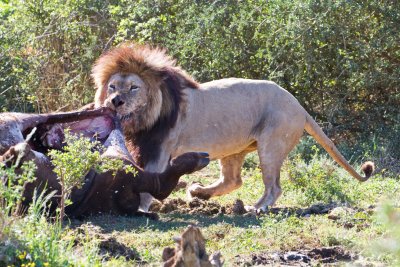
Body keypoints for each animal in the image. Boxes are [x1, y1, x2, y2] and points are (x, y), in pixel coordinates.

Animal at [92, 43, 374, 213]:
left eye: (133, 87)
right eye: (113, 86)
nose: (115, 101)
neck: (144, 118)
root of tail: (300, 107)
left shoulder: (160, 150)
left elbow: (149, 180)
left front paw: (141, 208)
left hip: (271, 145)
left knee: (273, 186)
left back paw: (256, 208)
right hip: (233, 149)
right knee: (233, 181)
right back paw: (200, 193)